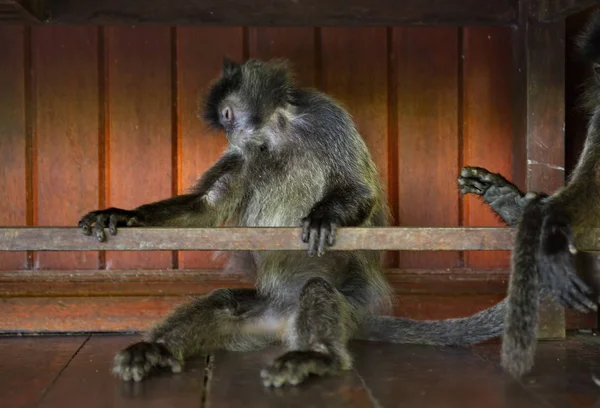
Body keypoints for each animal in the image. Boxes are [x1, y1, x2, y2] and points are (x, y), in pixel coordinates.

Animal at [78, 58, 510, 388]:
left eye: (228, 116)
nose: (231, 135)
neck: (279, 133)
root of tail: (285, 321)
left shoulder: (325, 117)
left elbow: (357, 188)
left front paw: (323, 217)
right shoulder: (248, 152)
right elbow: (207, 207)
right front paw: (122, 215)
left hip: (346, 303)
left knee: (317, 288)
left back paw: (317, 357)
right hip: (260, 315)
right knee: (222, 302)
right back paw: (158, 349)